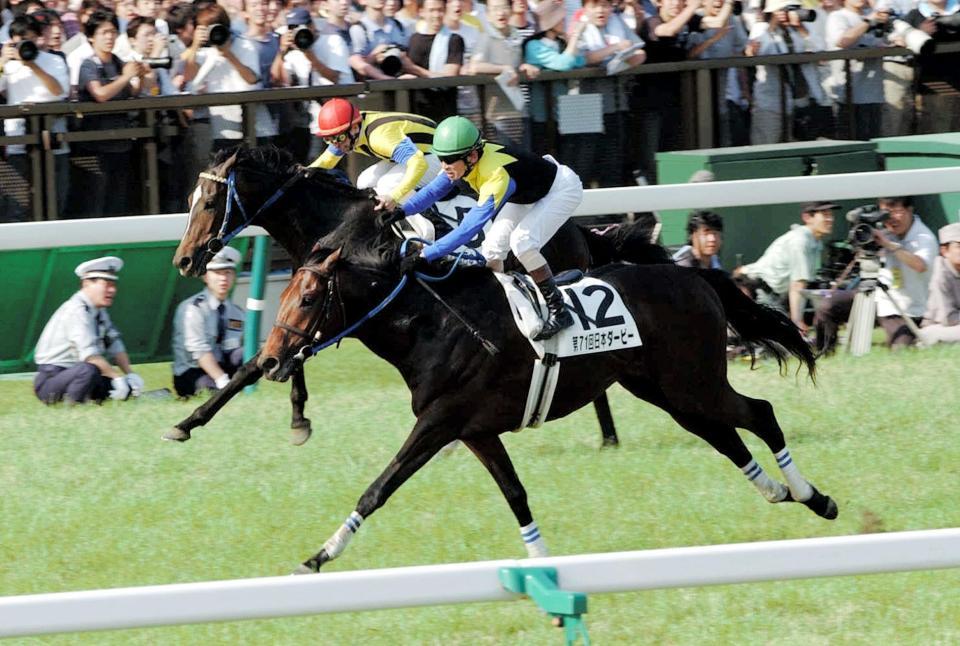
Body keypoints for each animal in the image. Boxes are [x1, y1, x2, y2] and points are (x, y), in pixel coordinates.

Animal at [169, 144, 659, 445]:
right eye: (190, 199)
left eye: (209, 202)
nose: (185, 260)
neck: (337, 223)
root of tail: (579, 229)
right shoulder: (324, 297)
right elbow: (279, 353)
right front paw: (291, 418)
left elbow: (254, 362)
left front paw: (191, 422)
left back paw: (608, 433)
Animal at [258, 208, 837, 574]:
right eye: (283, 296)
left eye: (307, 298)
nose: (268, 361)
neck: (432, 324)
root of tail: (695, 277)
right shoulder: (475, 429)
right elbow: (515, 493)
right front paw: (541, 563)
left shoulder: (439, 420)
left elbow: (379, 487)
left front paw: (320, 555)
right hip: (665, 389)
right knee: (724, 435)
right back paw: (779, 491)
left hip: (693, 381)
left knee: (760, 414)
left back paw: (816, 497)